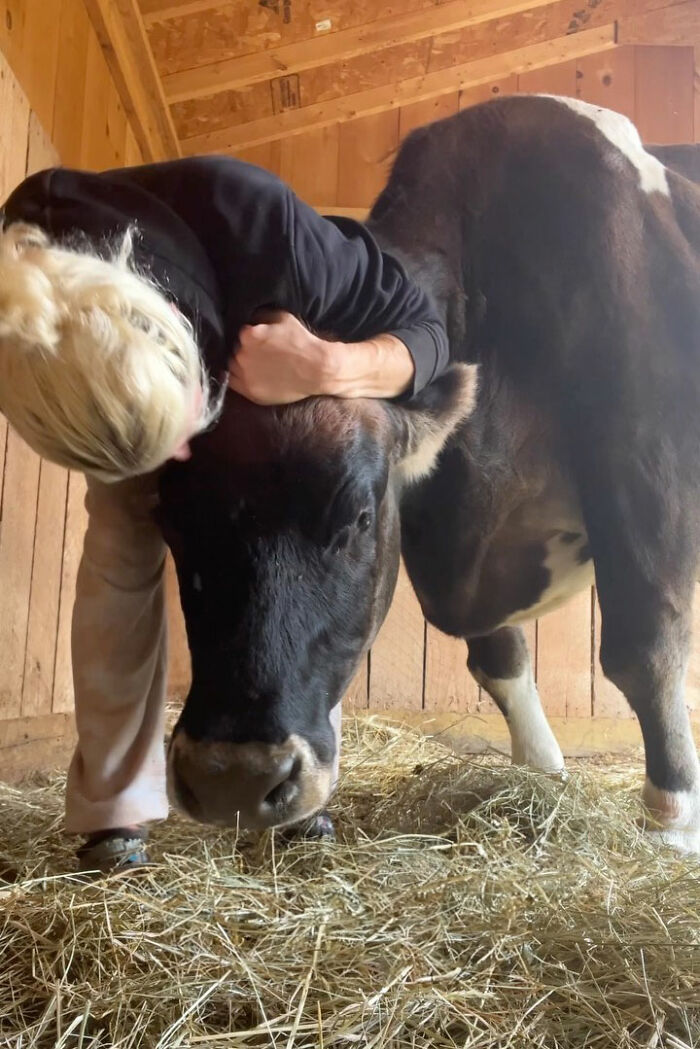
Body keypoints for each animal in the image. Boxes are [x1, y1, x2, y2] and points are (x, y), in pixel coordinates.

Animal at [158, 96, 700, 851]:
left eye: (358, 516)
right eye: (170, 522)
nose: (232, 778)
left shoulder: (648, 461)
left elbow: (644, 646)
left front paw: (673, 826)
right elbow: (499, 660)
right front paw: (541, 775)